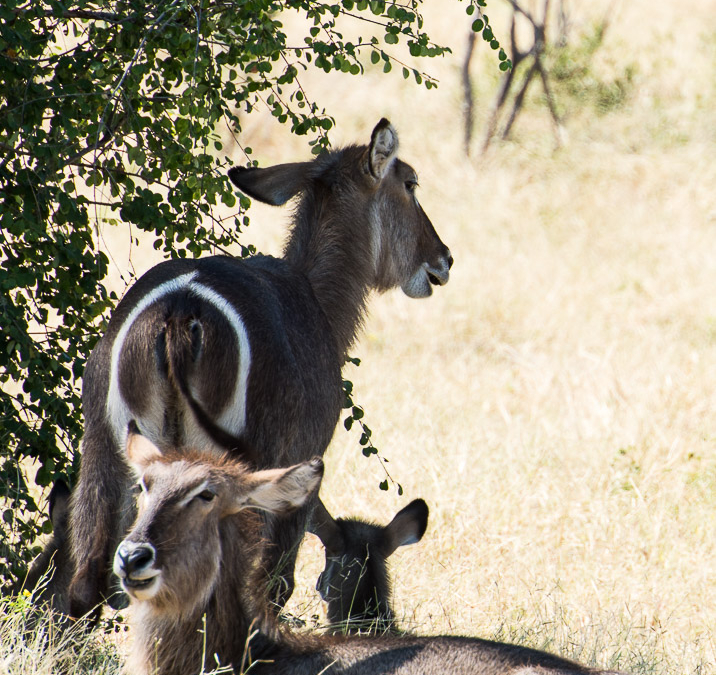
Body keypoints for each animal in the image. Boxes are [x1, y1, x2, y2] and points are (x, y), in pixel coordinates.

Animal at [67, 117, 450, 616]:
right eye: (410, 183)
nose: (444, 258)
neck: (315, 299)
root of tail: (179, 311)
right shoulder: (304, 467)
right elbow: (276, 583)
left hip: (105, 451)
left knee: (86, 584)